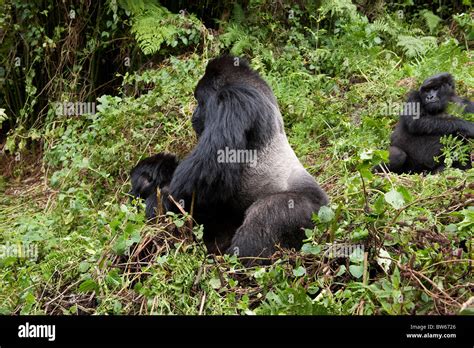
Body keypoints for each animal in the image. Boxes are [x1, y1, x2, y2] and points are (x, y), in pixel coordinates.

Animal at [130, 55, 330, 262]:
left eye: (199, 101)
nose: (194, 115)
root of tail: (326, 207)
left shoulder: (234, 99)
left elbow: (210, 169)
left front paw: (160, 199)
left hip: (311, 211)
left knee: (264, 218)